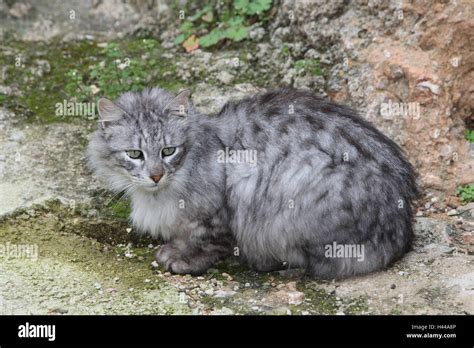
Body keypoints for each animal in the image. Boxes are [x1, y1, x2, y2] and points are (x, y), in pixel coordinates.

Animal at [88, 87, 418, 280]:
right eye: (135, 154)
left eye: (169, 151)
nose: (156, 175)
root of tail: (401, 226)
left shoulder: (222, 203)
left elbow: (207, 242)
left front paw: (183, 259)